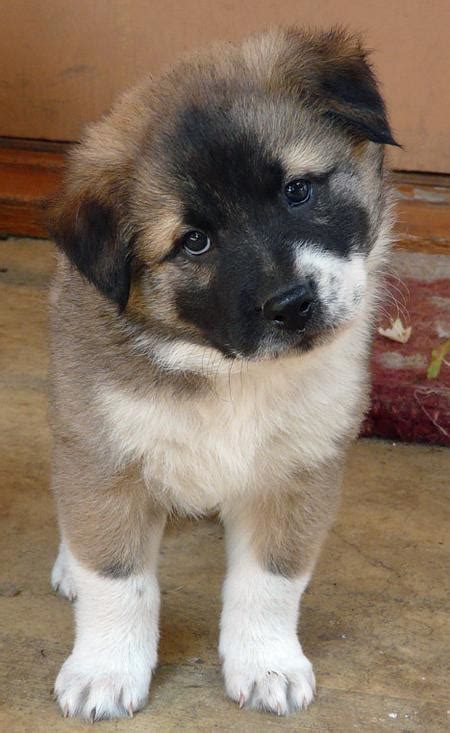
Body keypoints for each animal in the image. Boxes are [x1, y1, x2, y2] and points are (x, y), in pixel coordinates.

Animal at [47, 28, 396, 720]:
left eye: (298, 191)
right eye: (195, 242)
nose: (292, 305)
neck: (229, 373)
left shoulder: (297, 470)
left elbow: (269, 582)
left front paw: (266, 665)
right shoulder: (105, 454)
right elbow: (117, 579)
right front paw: (104, 669)